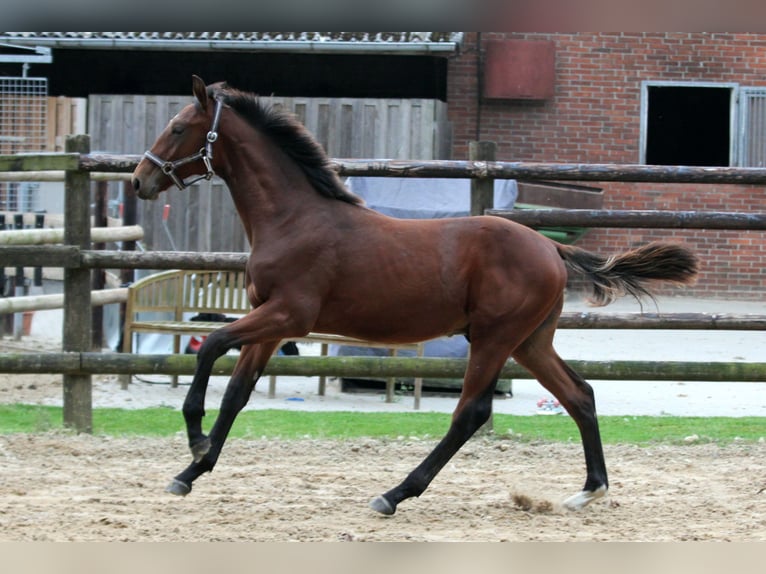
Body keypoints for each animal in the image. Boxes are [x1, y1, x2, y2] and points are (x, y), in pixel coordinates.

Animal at [132, 77, 704, 516]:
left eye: (178, 128)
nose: (139, 179)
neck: (295, 219)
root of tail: (550, 247)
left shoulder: (288, 316)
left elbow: (209, 346)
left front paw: (195, 439)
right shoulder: (269, 322)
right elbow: (237, 391)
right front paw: (191, 470)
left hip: (494, 337)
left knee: (471, 413)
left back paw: (394, 494)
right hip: (530, 341)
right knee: (579, 395)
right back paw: (589, 491)